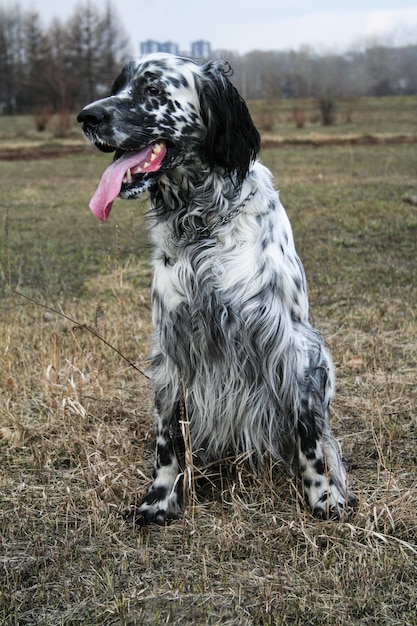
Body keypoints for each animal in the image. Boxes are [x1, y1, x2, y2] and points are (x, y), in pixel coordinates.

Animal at [78, 52, 354, 520]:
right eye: (117, 86)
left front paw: (323, 496)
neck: (200, 223)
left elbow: (309, 438)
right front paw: (160, 498)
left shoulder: (292, 345)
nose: (86, 116)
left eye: (153, 89)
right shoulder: (171, 348)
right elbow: (166, 438)